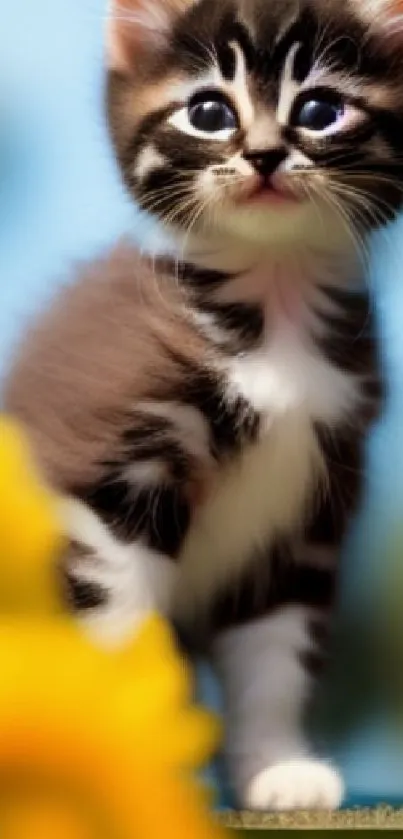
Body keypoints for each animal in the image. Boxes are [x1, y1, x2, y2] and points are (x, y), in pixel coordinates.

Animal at [5, 0, 403, 812]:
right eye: (210, 112)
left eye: (319, 109)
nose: (264, 155)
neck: (274, 310)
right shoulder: (115, 475)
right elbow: (121, 629)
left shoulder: (310, 506)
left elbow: (275, 653)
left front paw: (275, 766)